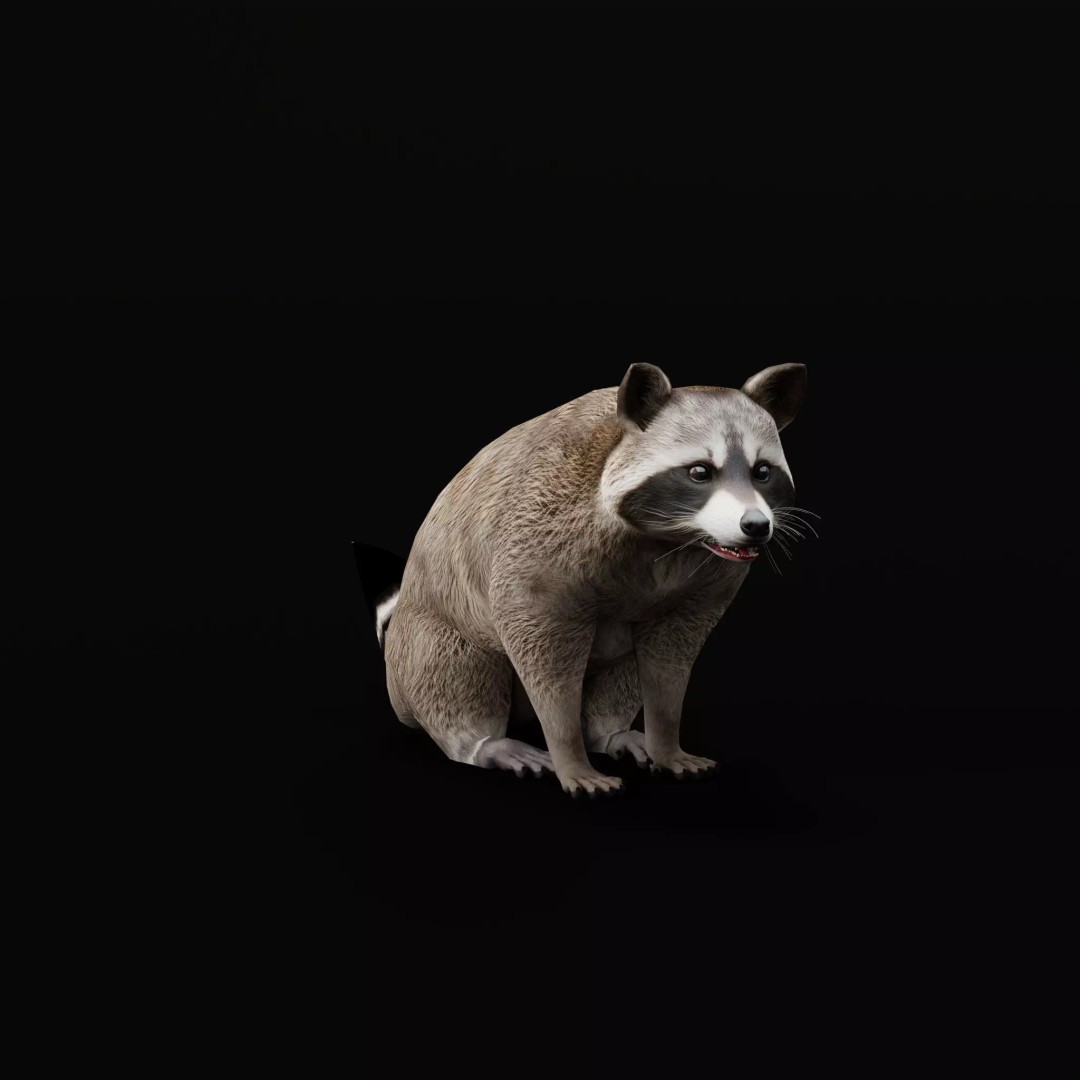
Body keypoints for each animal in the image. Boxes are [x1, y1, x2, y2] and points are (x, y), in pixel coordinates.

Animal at [358, 362, 808, 797]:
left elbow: (668, 661)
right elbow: (545, 658)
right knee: (454, 668)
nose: (756, 526)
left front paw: (665, 742)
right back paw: (484, 742)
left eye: (762, 472)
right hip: (428, 636)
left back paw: (611, 733)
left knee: (621, 671)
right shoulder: (541, 532)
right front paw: (569, 754)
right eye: (699, 471)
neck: (668, 541)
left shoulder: (708, 576)